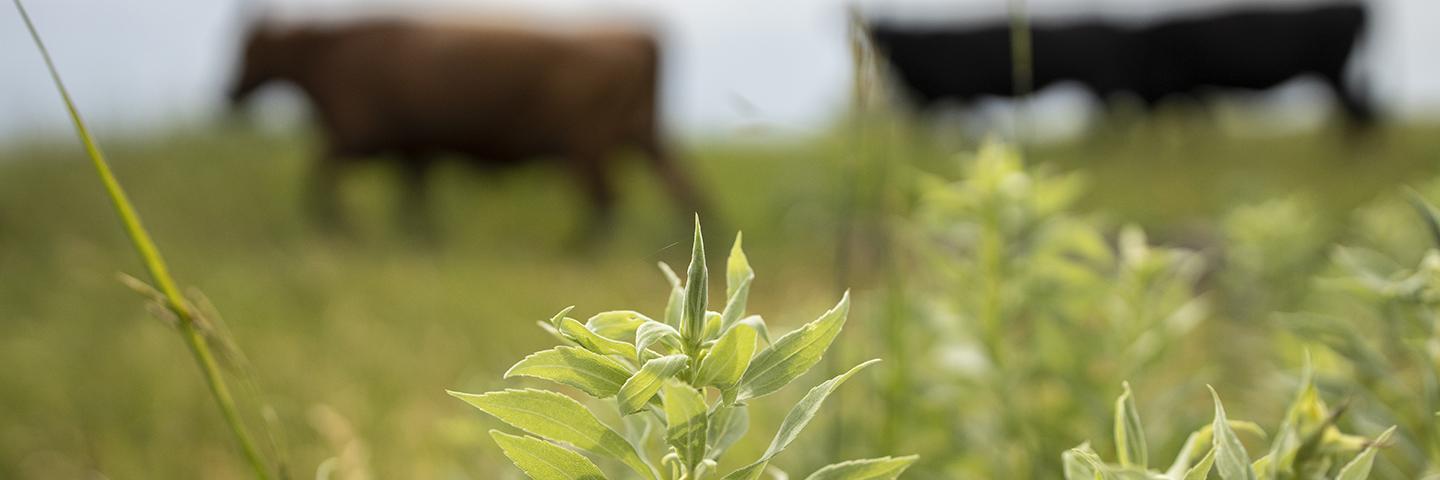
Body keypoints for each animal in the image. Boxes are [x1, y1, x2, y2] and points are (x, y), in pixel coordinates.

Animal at [227, 19, 705, 236]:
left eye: (250, 51)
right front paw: (417, 235)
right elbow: (413, 197)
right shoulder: (410, 149)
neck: (328, 57)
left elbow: (321, 177)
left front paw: (335, 225)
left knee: (607, 198)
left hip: (586, 146)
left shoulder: (357, 138)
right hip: (633, 137)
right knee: (678, 186)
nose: (229, 93)